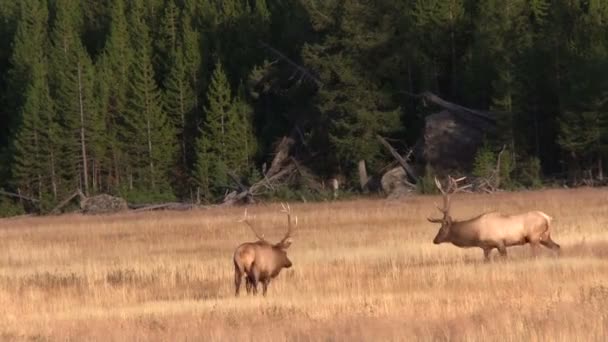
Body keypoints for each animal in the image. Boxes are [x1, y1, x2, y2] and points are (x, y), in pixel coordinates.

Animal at [428, 175, 560, 260]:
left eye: (441, 229)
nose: (435, 240)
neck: (475, 234)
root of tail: (548, 218)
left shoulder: (499, 243)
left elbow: (505, 258)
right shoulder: (486, 248)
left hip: (534, 237)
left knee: (538, 253)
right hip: (545, 236)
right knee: (557, 247)